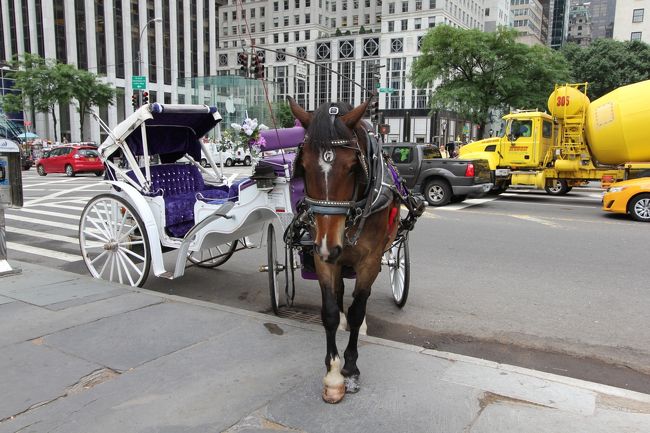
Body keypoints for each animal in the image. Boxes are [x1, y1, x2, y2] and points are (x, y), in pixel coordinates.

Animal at [288, 97, 406, 404]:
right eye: (303, 166)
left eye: (354, 167)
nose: (329, 246)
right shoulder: (322, 257)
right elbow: (329, 311)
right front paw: (333, 375)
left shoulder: (370, 261)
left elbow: (357, 309)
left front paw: (350, 369)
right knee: (341, 291)